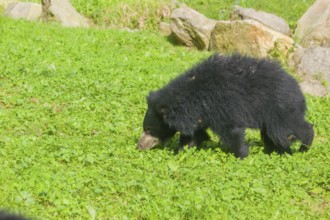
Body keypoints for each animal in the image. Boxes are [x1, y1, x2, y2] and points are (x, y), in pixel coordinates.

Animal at [137, 53, 314, 158]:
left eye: (149, 129)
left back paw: (304, 146)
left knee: (285, 130)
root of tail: (298, 88)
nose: (139, 145)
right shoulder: (199, 115)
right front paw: (182, 151)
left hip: (278, 108)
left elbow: (231, 131)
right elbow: (194, 136)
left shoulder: (222, 105)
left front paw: (242, 154)